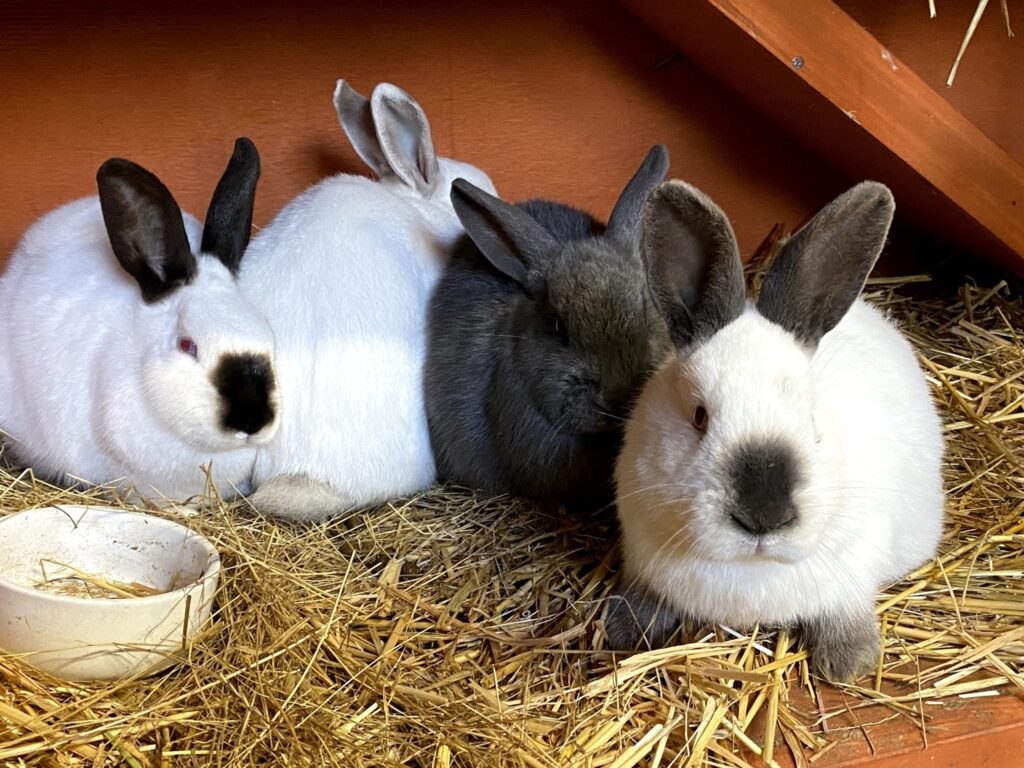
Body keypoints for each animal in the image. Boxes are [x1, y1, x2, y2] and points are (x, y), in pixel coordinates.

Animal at [605, 179, 945, 683]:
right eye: (700, 416)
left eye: (812, 419)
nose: (762, 515)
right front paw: (624, 626)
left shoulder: (856, 562)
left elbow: (847, 607)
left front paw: (850, 662)